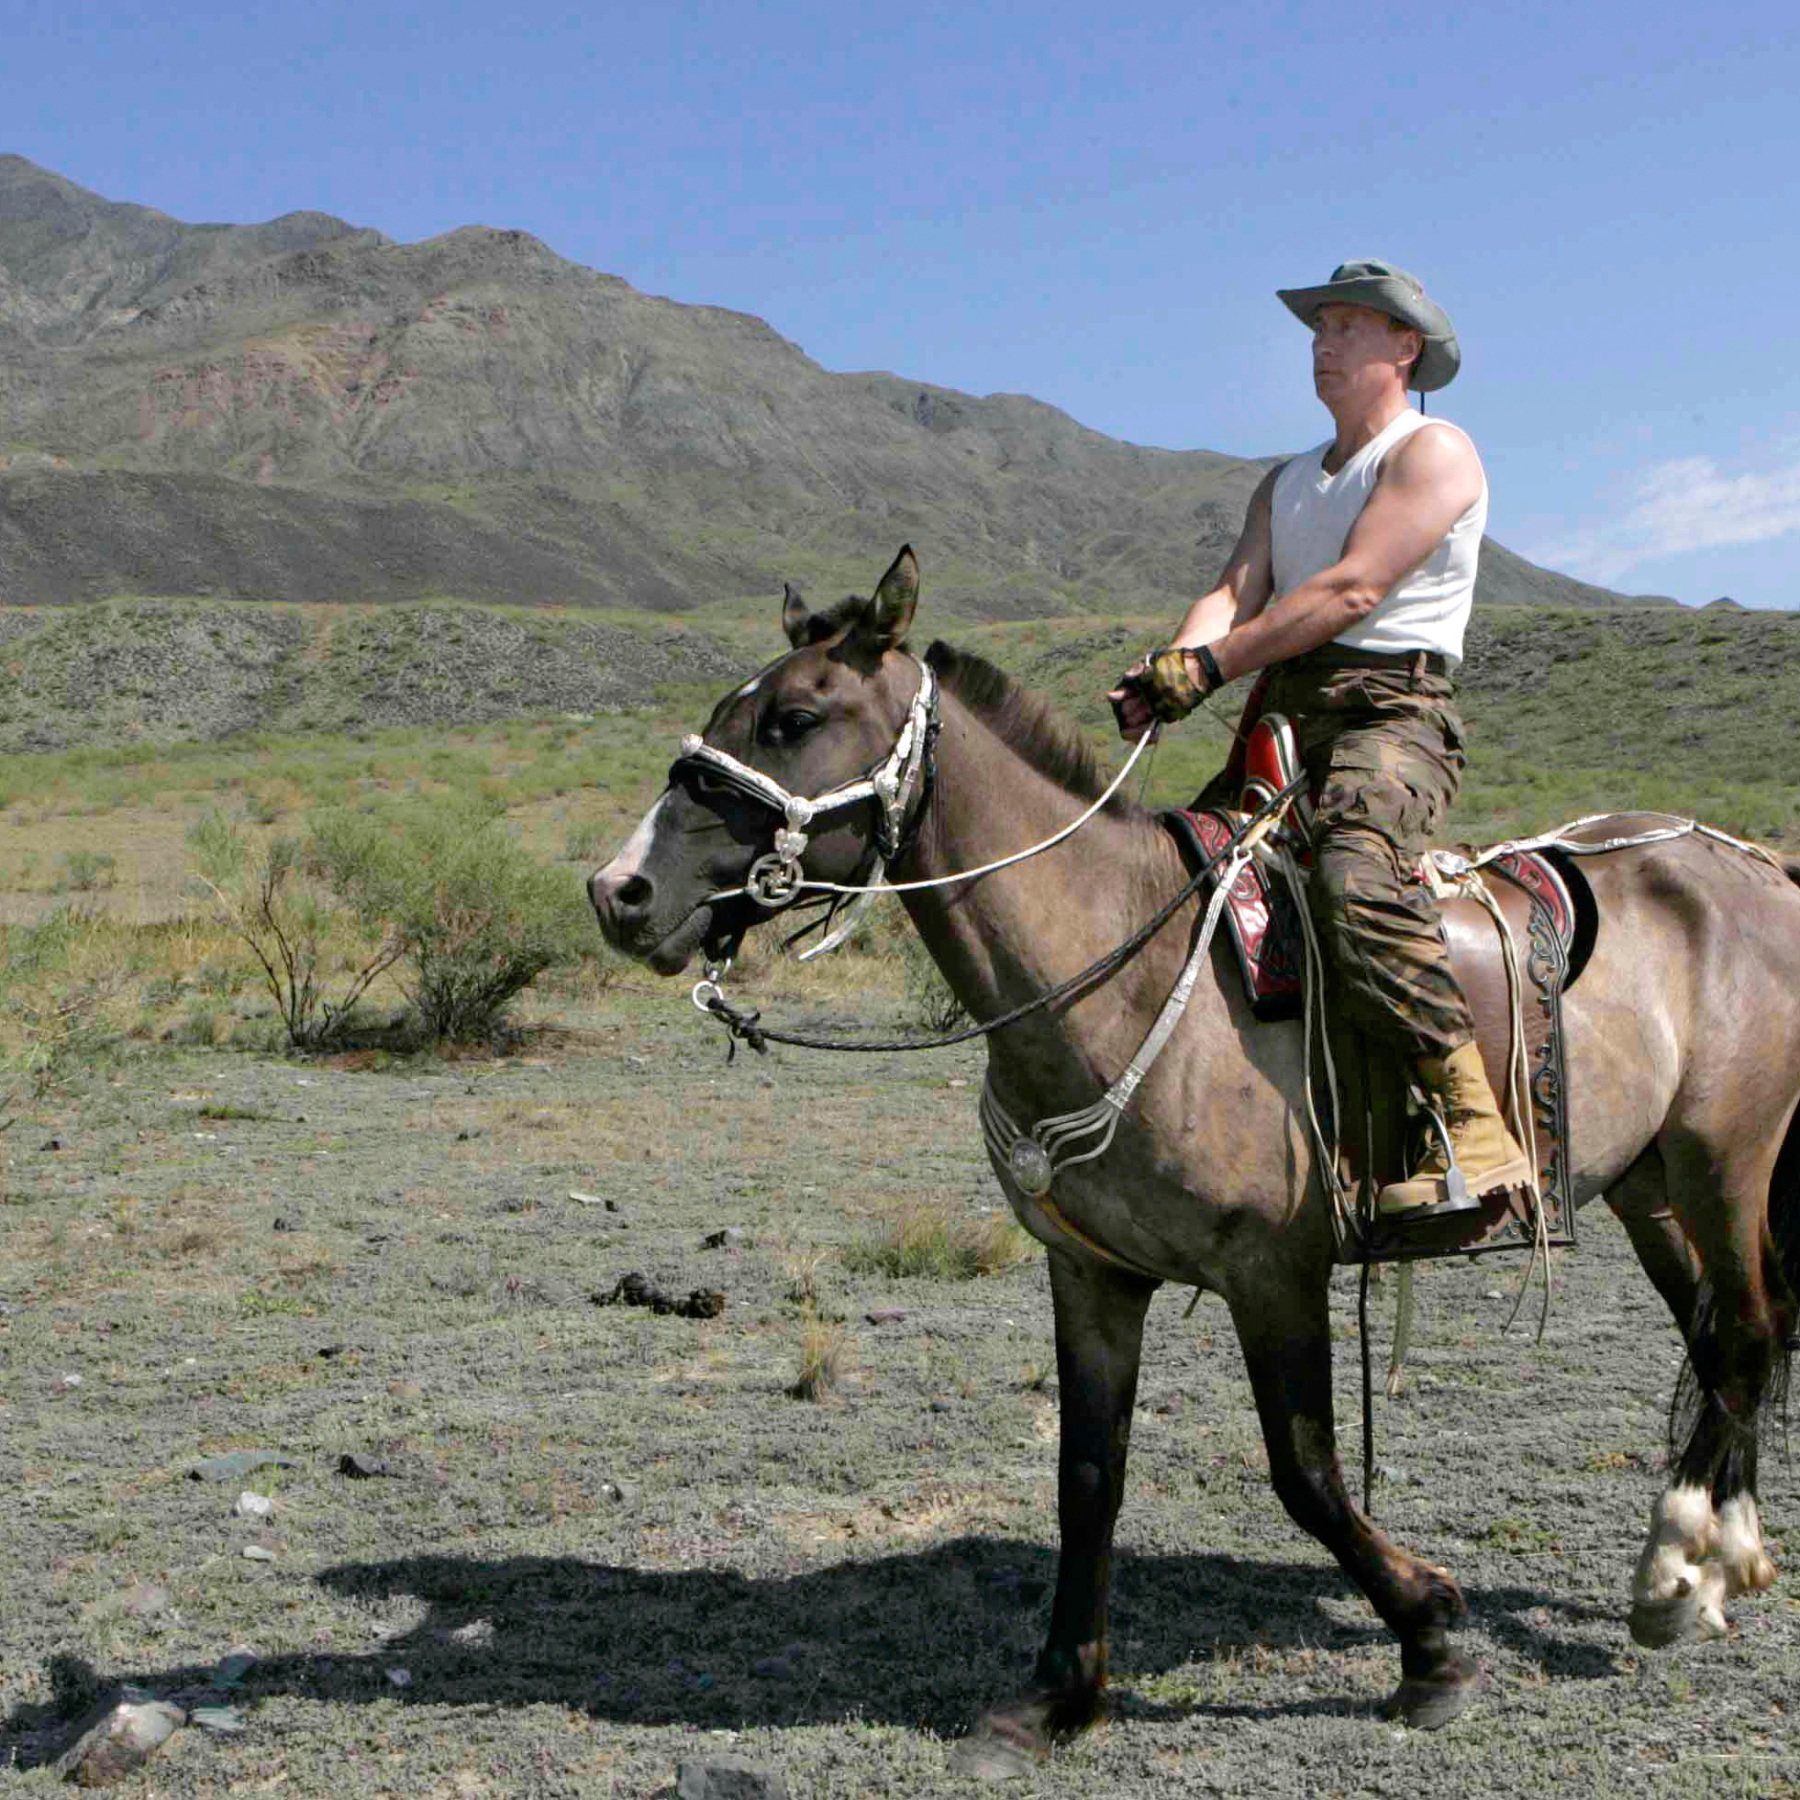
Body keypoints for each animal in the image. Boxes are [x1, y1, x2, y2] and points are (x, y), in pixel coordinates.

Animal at [590, 547, 1800, 1771]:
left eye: (793, 717)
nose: (619, 892)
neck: (1114, 963)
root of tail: (1753, 865)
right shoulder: (1092, 1273)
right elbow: (1087, 1475)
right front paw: (1059, 1695)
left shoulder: (1275, 1274)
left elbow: (1306, 1473)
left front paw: (1431, 1640)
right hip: (1649, 1187)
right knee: (1725, 1336)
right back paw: (1719, 1565)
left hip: (1724, 1158)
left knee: (1747, 1329)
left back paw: (1674, 1571)